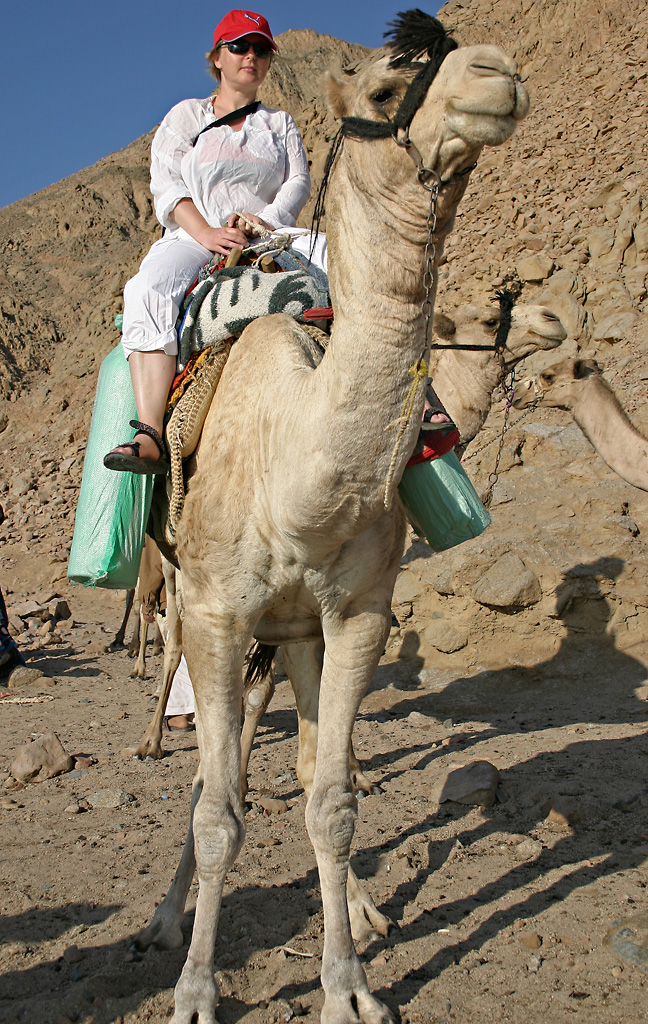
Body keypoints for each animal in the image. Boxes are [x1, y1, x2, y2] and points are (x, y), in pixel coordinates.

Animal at [134, 18, 528, 1024]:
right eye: (388, 88)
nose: (500, 73)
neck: (296, 474)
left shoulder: (355, 617)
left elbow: (335, 800)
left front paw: (349, 985)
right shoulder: (218, 615)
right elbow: (218, 808)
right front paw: (195, 990)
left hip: (295, 635)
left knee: (308, 764)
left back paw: (358, 906)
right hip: (194, 607)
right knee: (216, 768)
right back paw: (164, 918)